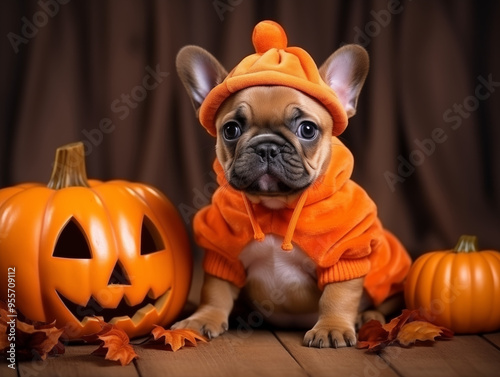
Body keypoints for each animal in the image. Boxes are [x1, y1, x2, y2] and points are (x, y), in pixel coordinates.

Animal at [173, 22, 410, 348]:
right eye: (231, 130)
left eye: (307, 129)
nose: (267, 147)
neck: (275, 205)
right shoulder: (223, 252)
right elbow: (215, 290)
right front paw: (202, 319)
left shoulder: (345, 253)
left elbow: (339, 294)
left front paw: (332, 328)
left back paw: (368, 317)